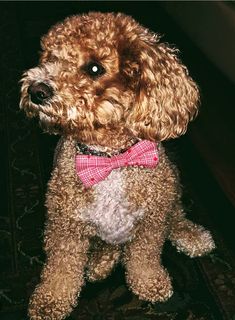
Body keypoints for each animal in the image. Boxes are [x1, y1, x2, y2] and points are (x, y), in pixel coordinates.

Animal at [20, 12, 215, 320]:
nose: (36, 90)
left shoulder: (151, 221)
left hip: (171, 189)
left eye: (94, 68)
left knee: (176, 215)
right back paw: (101, 263)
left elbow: (145, 257)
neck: (109, 159)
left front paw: (150, 282)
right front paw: (51, 299)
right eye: (50, 57)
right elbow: (61, 267)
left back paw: (191, 234)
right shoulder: (65, 226)